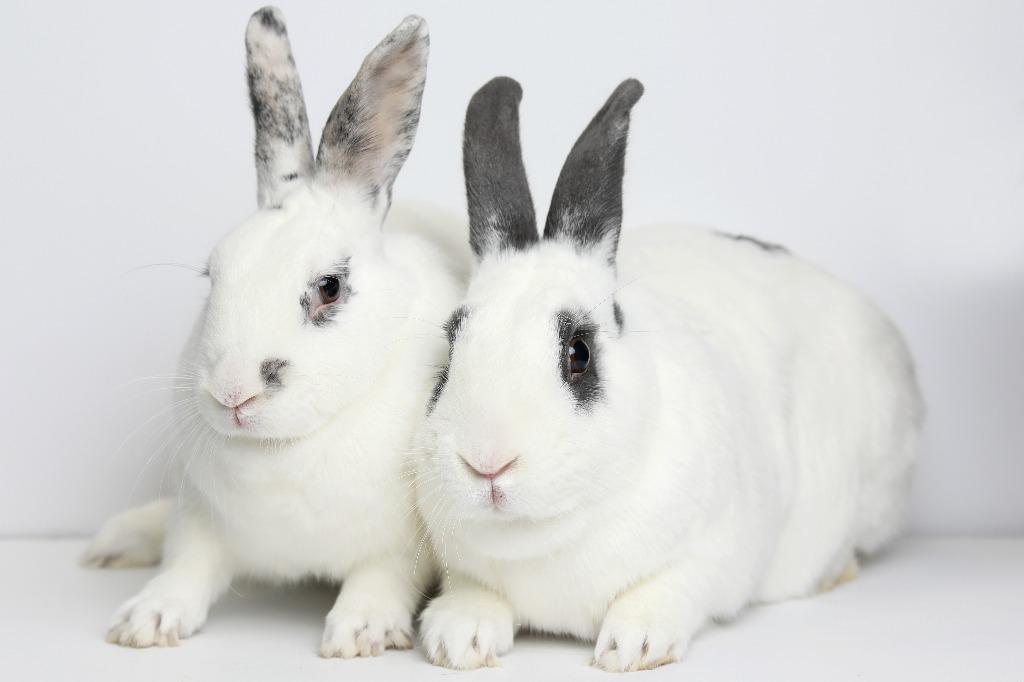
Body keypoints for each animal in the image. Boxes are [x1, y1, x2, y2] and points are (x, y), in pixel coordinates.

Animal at [96, 7, 470, 656]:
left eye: (329, 288)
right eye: (212, 275)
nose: (233, 392)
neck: (283, 451)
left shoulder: (402, 545)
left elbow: (381, 578)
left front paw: (360, 633)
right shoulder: (199, 519)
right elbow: (184, 569)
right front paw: (144, 621)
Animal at [415, 77, 923, 672]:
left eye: (579, 353)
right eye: (451, 348)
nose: (486, 462)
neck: (545, 541)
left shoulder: (713, 553)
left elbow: (666, 588)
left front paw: (632, 647)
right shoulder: (461, 566)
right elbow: (472, 592)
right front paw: (456, 639)